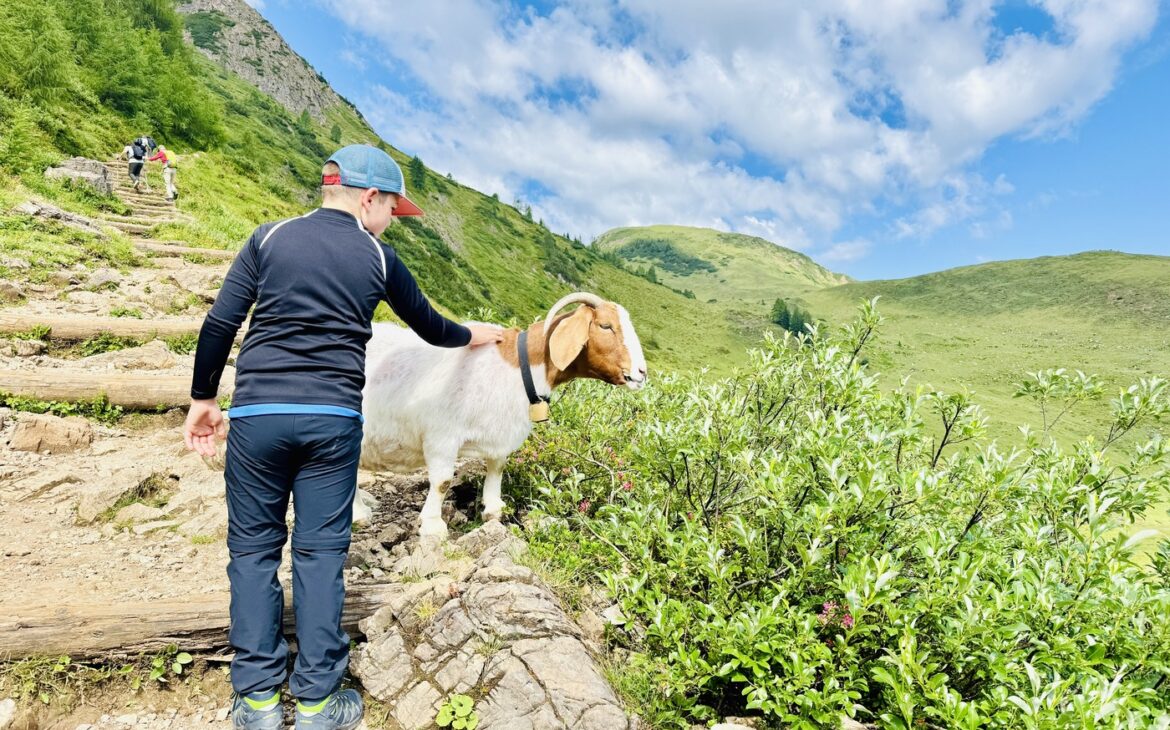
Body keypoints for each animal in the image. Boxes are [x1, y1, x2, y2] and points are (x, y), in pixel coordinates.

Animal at [360, 292, 647, 540]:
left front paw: (494, 508)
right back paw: (360, 513)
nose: (641, 373)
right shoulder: (442, 436)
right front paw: (433, 526)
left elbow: (497, 467)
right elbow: (442, 481)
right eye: (606, 326)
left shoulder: (500, 433)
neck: (518, 367)